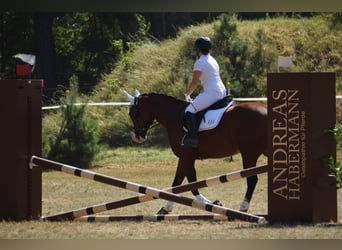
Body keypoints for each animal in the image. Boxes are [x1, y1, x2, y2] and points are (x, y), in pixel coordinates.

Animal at [124, 91, 268, 214]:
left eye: (133, 113)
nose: (137, 137)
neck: (174, 117)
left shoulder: (187, 157)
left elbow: (192, 184)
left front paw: (212, 203)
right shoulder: (183, 158)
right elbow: (177, 183)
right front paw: (166, 208)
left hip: (249, 154)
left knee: (252, 179)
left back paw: (244, 206)